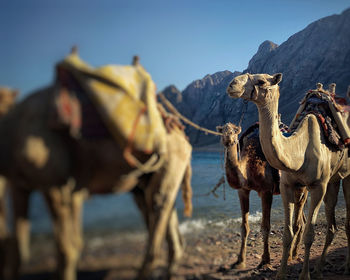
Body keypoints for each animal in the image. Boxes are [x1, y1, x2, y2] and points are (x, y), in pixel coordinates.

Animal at [0, 55, 191, 280]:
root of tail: (181, 133)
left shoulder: (56, 186)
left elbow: (66, 249)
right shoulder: (21, 186)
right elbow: (19, 249)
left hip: (169, 161)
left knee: (159, 205)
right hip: (149, 179)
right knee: (164, 207)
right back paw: (170, 269)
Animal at [216, 123, 306, 272]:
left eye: (234, 131)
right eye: (222, 131)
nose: (228, 139)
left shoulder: (266, 191)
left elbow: (265, 227)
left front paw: (265, 261)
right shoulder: (243, 190)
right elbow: (244, 227)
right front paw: (239, 261)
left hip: (301, 185)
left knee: (298, 220)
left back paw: (290, 256)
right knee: (302, 219)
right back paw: (294, 253)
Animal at [226, 72, 350, 280]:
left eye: (261, 81)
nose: (232, 85)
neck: (299, 150)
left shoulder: (317, 186)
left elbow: (309, 234)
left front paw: (304, 275)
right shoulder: (287, 186)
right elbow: (287, 233)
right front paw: (281, 273)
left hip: (345, 176)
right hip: (332, 180)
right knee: (330, 223)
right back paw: (318, 268)